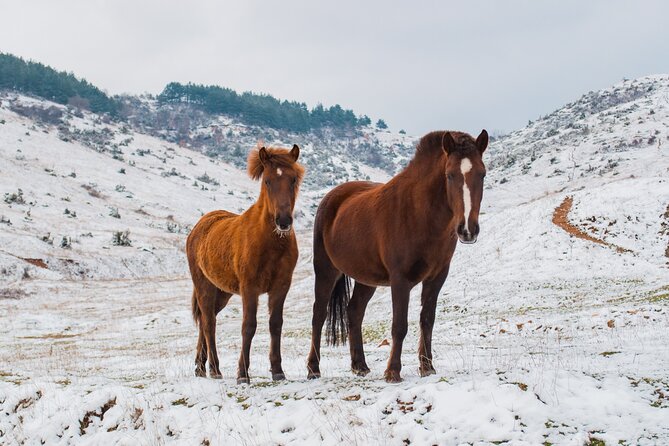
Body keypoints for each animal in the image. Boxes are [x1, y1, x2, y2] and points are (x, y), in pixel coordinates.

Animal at [186, 143, 304, 384]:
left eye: (293, 179)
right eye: (267, 181)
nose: (283, 221)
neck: (269, 243)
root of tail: (199, 227)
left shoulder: (281, 286)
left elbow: (275, 324)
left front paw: (278, 371)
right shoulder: (250, 288)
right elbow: (249, 326)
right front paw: (242, 374)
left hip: (222, 292)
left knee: (205, 320)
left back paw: (200, 367)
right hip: (204, 287)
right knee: (209, 323)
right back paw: (215, 369)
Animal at [306, 130, 488, 383]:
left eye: (482, 174)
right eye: (450, 175)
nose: (468, 230)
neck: (420, 213)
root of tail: (331, 198)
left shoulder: (437, 277)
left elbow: (427, 320)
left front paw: (427, 367)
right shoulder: (400, 280)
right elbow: (399, 325)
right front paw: (393, 371)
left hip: (366, 278)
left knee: (354, 311)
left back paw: (359, 365)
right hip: (326, 270)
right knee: (318, 315)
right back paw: (313, 368)